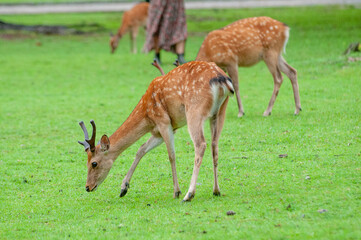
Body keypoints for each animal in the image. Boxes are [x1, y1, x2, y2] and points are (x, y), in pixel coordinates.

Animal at [77, 61, 233, 202]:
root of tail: (222, 79)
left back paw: (189, 194)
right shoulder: (158, 131)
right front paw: (123, 188)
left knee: (201, 144)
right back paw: (216, 190)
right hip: (219, 112)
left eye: (94, 163)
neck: (146, 114)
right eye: (86, 162)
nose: (87, 187)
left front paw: (176, 191)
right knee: (214, 145)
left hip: (195, 111)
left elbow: (171, 155)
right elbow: (141, 149)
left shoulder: (163, 122)